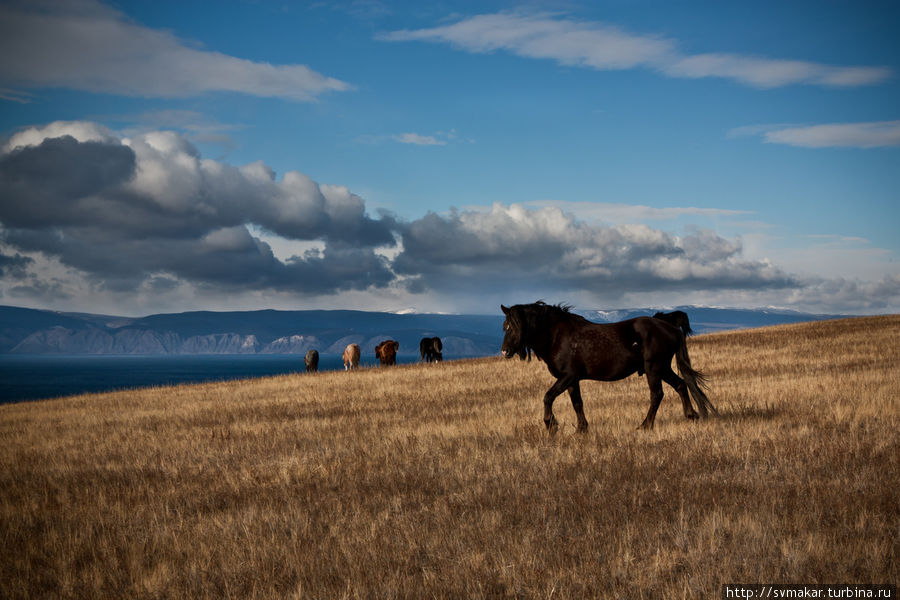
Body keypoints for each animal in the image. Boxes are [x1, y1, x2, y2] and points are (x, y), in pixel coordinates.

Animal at [500, 302, 716, 434]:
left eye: (514, 326)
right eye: (505, 326)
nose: (505, 351)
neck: (557, 337)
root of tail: (669, 327)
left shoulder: (567, 376)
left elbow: (548, 397)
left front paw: (551, 424)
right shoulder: (572, 380)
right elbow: (577, 403)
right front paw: (582, 428)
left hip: (654, 368)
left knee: (657, 394)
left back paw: (645, 425)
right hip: (662, 367)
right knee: (681, 385)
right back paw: (691, 415)